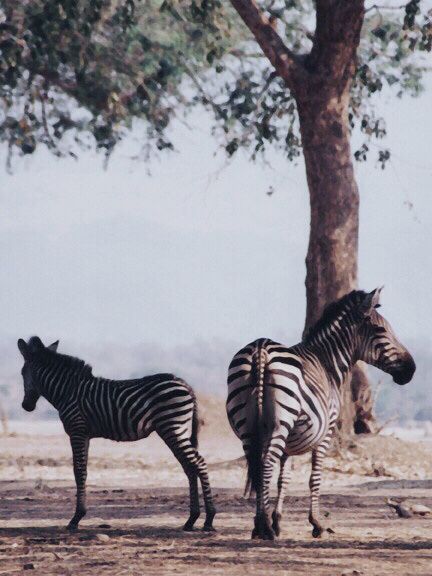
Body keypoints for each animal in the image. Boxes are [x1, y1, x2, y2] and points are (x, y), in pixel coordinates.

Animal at [16, 338, 216, 532]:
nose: (26, 406)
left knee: (199, 463)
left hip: (172, 427)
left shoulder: (77, 430)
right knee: (190, 467)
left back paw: (209, 520)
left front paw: (76, 519)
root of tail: (184, 383)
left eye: (22, 372)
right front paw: (79, 515)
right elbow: (84, 471)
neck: (67, 391)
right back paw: (191, 520)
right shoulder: (85, 435)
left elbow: (78, 470)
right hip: (174, 430)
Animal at [226, 290, 416, 544]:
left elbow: (283, 478)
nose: (411, 370)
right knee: (265, 466)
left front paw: (277, 520)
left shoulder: (289, 442)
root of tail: (261, 347)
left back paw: (259, 526)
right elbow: (314, 477)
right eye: (380, 330)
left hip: (248, 428)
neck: (328, 364)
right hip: (279, 424)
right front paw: (316, 524)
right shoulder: (326, 431)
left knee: (256, 467)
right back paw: (265, 528)